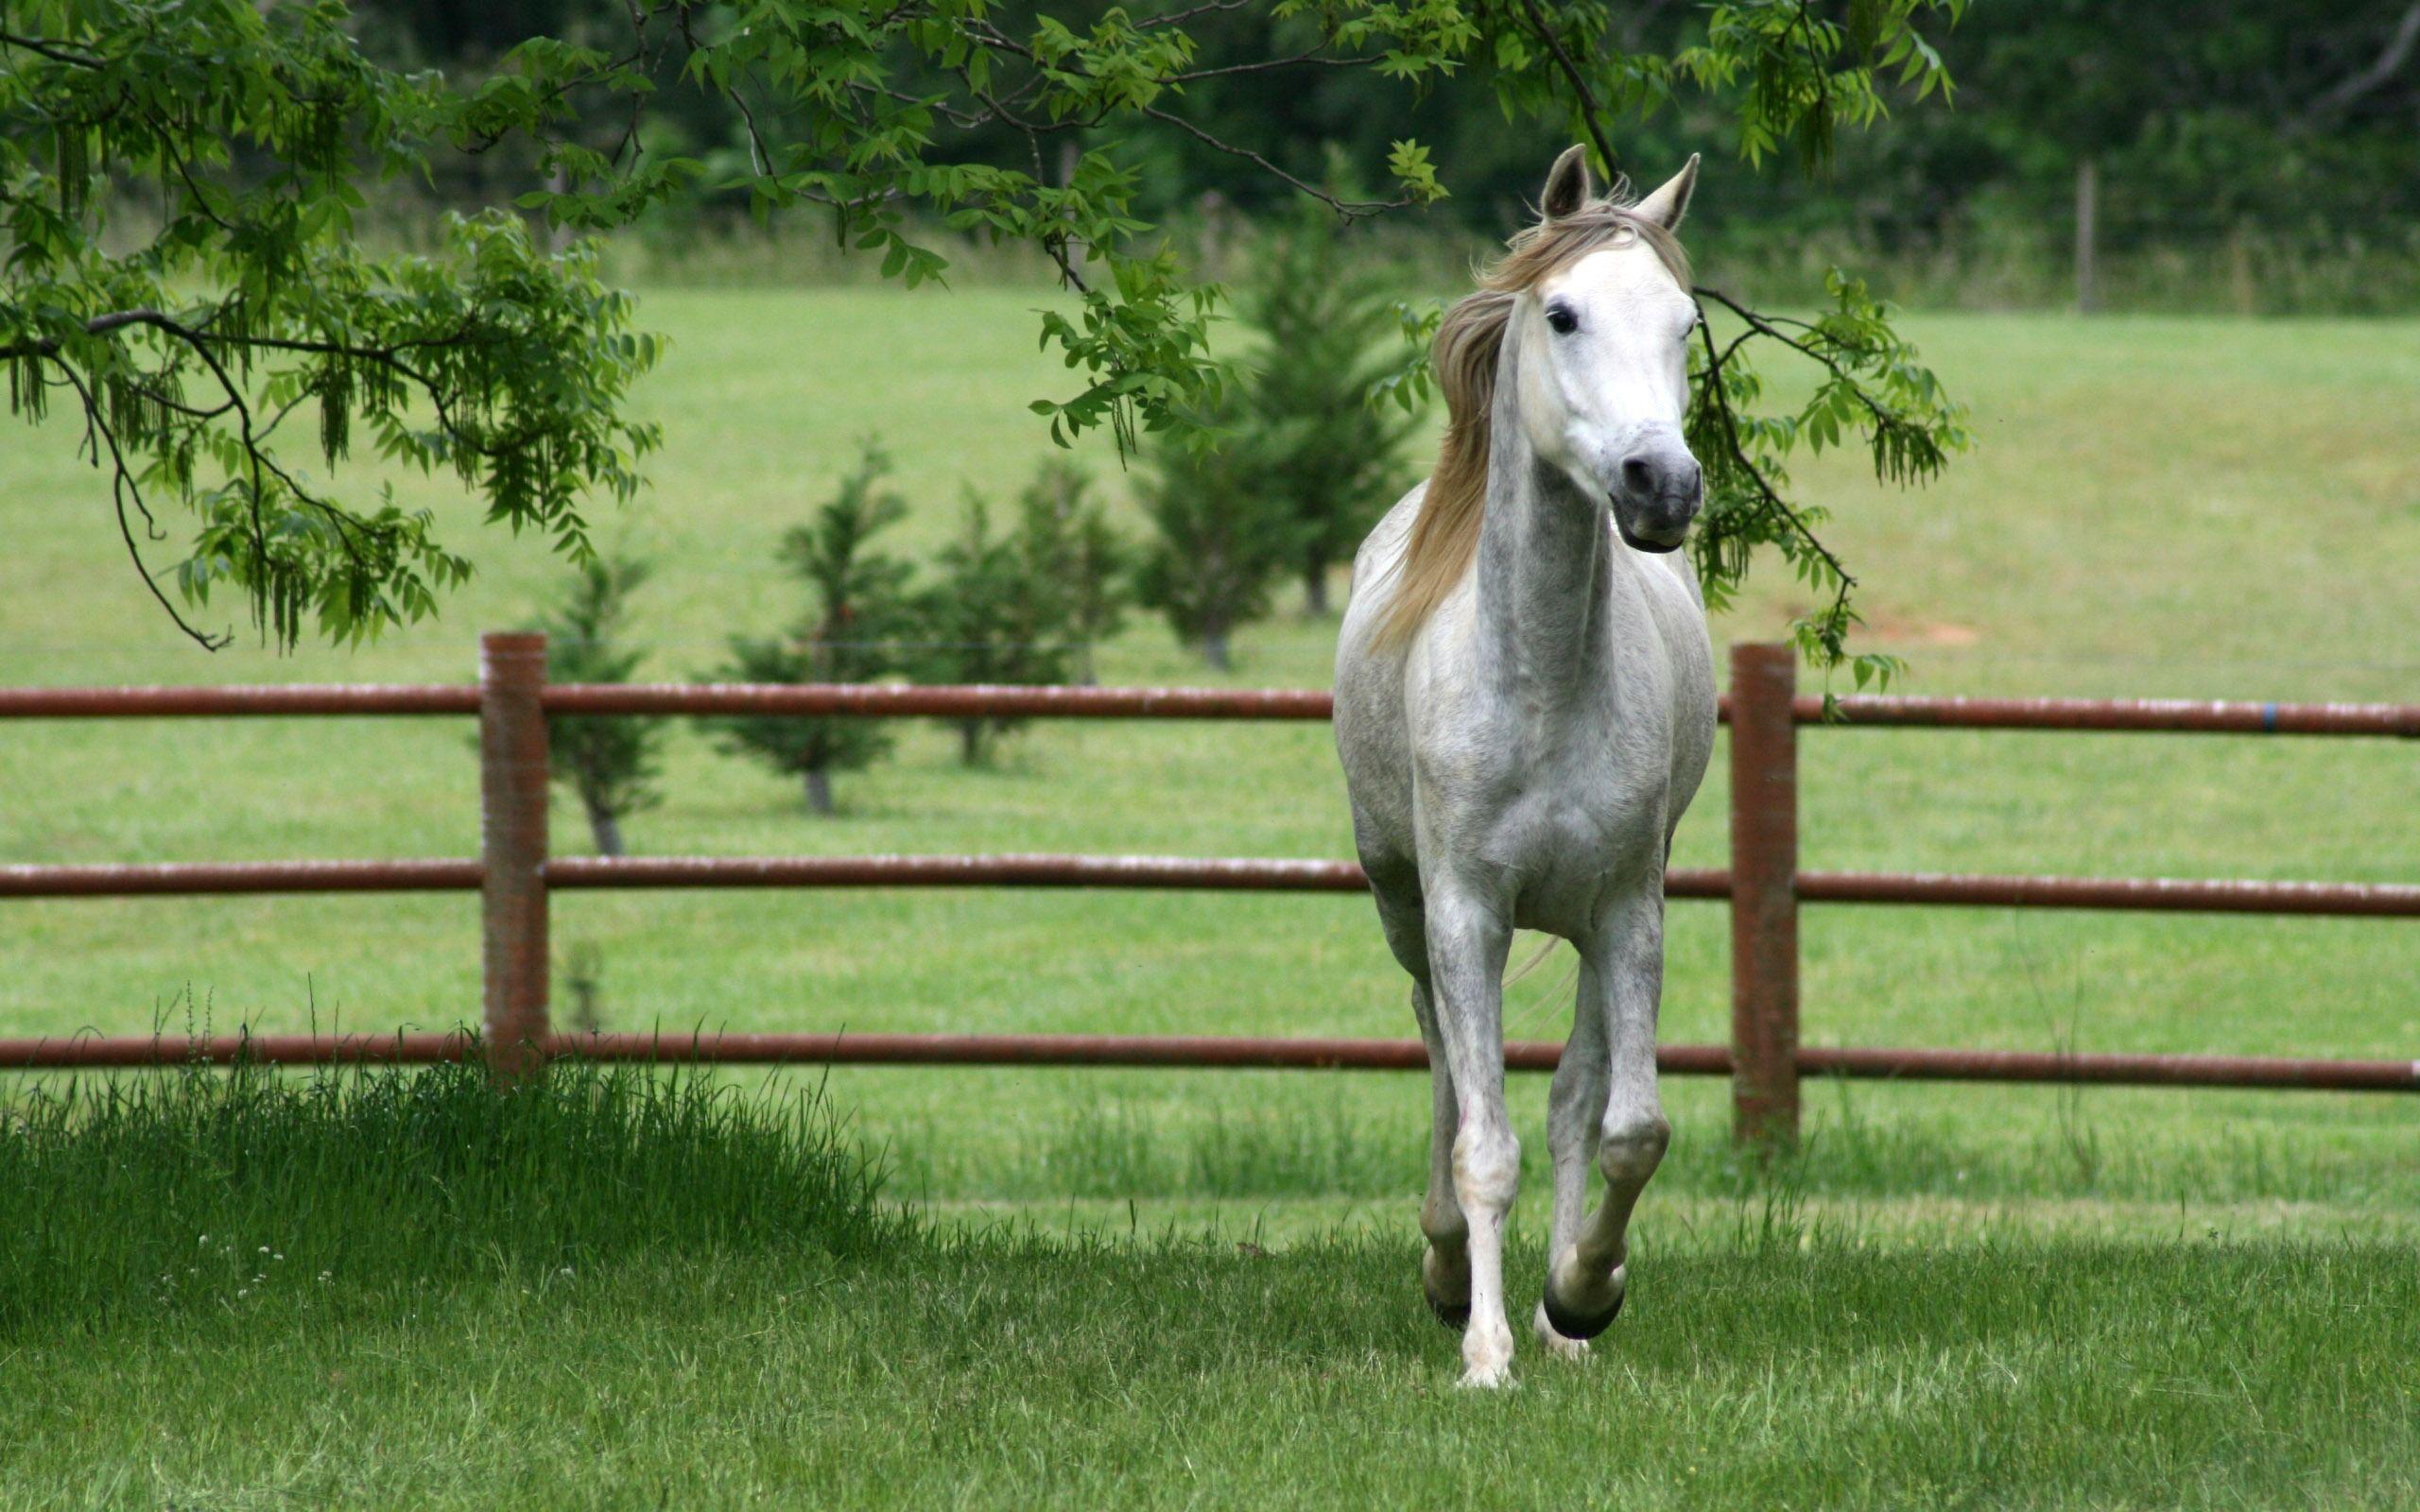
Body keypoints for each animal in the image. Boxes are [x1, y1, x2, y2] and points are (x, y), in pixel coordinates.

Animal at [1332, 146, 1718, 1389]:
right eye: (1562, 314)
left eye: (1684, 325)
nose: (1661, 485)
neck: (1541, 682)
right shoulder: (1465, 911)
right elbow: (1482, 1141)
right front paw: (1485, 1352)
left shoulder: (1629, 908)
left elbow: (1622, 1126)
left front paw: (1581, 1295)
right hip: (1405, 909)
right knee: (1445, 1070)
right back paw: (1450, 1272)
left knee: (1570, 1100)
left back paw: (1556, 1319)